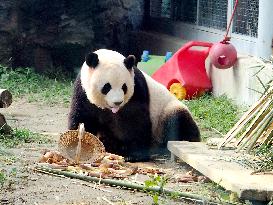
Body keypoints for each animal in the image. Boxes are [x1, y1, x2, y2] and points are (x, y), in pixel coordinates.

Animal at [68, 48, 200, 161]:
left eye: (124, 87)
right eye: (107, 87)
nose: (118, 102)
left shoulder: (136, 89)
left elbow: (135, 122)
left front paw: (134, 155)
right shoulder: (82, 91)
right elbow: (83, 118)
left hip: (167, 111)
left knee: (176, 122)